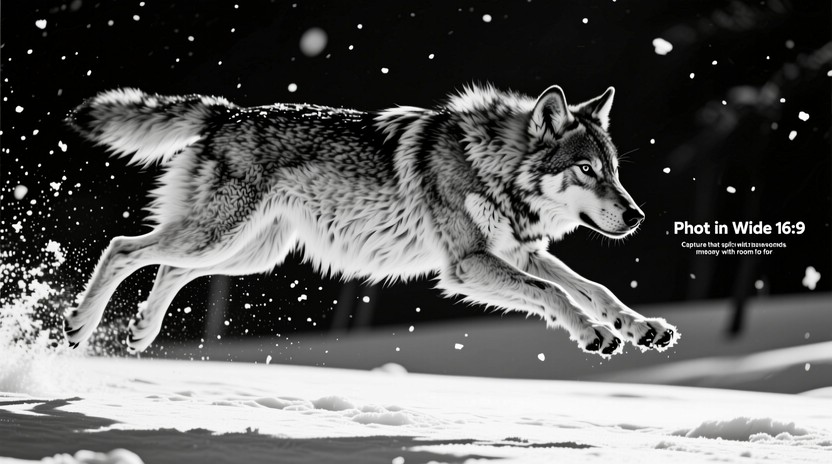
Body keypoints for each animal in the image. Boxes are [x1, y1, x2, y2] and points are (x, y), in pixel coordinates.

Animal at [64, 84, 679, 356]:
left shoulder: (519, 251)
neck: (491, 165)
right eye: (586, 169)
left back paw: (142, 332)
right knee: (123, 246)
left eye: (613, 170)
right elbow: (554, 295)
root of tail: (227, 111)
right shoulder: (468, 264)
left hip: (247, 254)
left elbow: (592, 287)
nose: (636, 215)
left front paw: (640, 327)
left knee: (167, 270)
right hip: (219, 238)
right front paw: (595, 334)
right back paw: (78, 328)